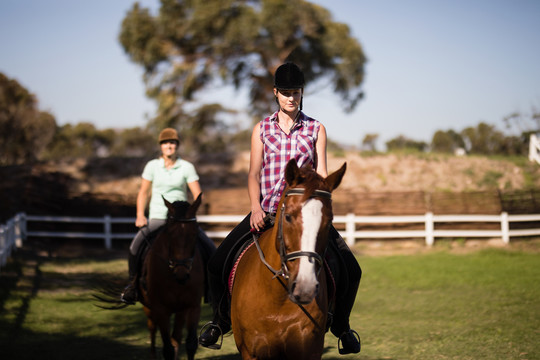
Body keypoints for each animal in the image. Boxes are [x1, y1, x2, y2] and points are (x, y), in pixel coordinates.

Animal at [138, 195, 206, 360]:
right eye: (169, 233)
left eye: (195, 233)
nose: (181, 274)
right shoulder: (160, 309)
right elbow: (167, 349)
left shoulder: (193, 306)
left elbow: (190, 344)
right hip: (149, 308)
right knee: (152, 329)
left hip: (179, 311)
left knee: (176, 337)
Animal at [229, 160, 346, 360]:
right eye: (288, 217)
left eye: (329, 221)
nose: (305, 287)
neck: (278, 298)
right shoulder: (250, 352)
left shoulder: (309, 351)